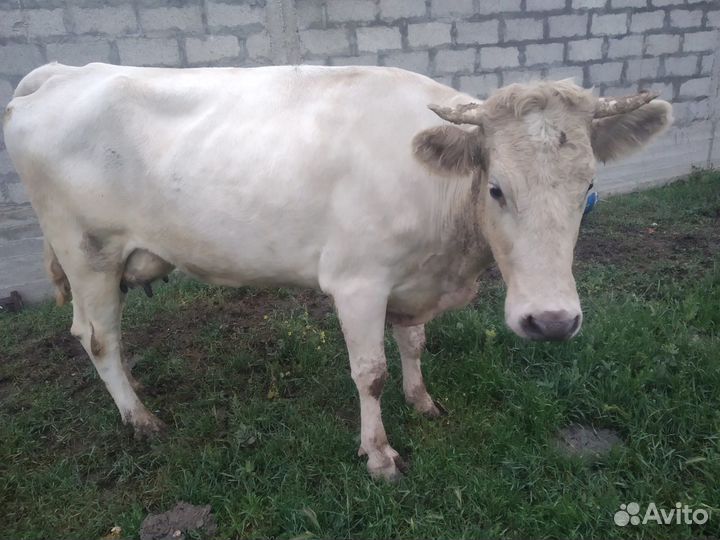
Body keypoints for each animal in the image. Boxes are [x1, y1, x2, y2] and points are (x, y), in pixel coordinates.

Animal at [3, 62, 672, 481]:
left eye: (588, 191)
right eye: (497, 189)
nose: (552, 321)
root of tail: (64, 71)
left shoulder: (413, 280)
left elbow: (413, 343)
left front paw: (423, 401)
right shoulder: (358, 281)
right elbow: (370, 373)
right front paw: (379, 456)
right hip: (86, 250)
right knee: (97, 337)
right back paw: (140, 418)